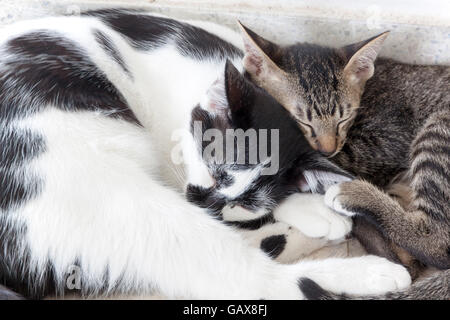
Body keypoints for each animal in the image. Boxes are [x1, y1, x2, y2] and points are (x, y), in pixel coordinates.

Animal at [0, 8, 410, 298]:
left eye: (246, 200)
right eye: (214, 169)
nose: (206, 203)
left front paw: (307, 205)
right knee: (261, 282)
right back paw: (372, 273)